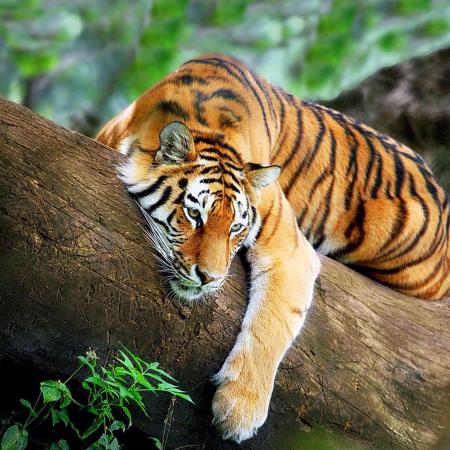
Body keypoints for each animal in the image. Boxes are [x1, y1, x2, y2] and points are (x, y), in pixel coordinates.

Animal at [96, 52, 450, 442]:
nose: (209, 278)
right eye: (194, 214)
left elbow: (272, 324)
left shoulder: (290, 249)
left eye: (236, 227)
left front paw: (239, 411)